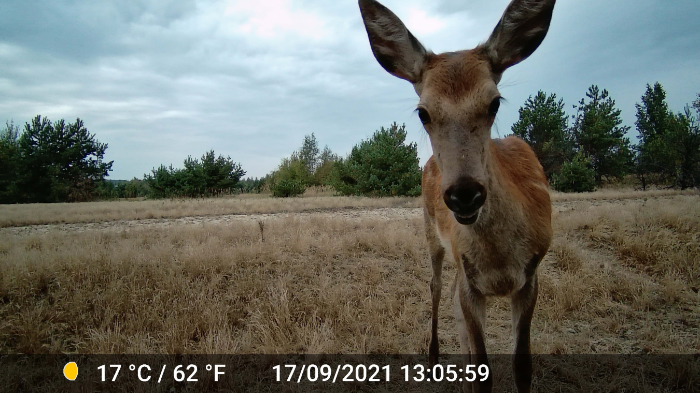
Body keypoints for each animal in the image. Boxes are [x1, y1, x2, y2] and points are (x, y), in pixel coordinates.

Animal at [358, 0, 556, 390]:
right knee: (436, 287)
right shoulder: (470, 280)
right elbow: (484, 371)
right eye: (423, 112)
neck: (500, 258)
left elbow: (522, 365)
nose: (465, 194)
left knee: (449, 298)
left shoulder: (531, 275)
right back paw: (434, 357)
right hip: (430, 233)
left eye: (494, 103)